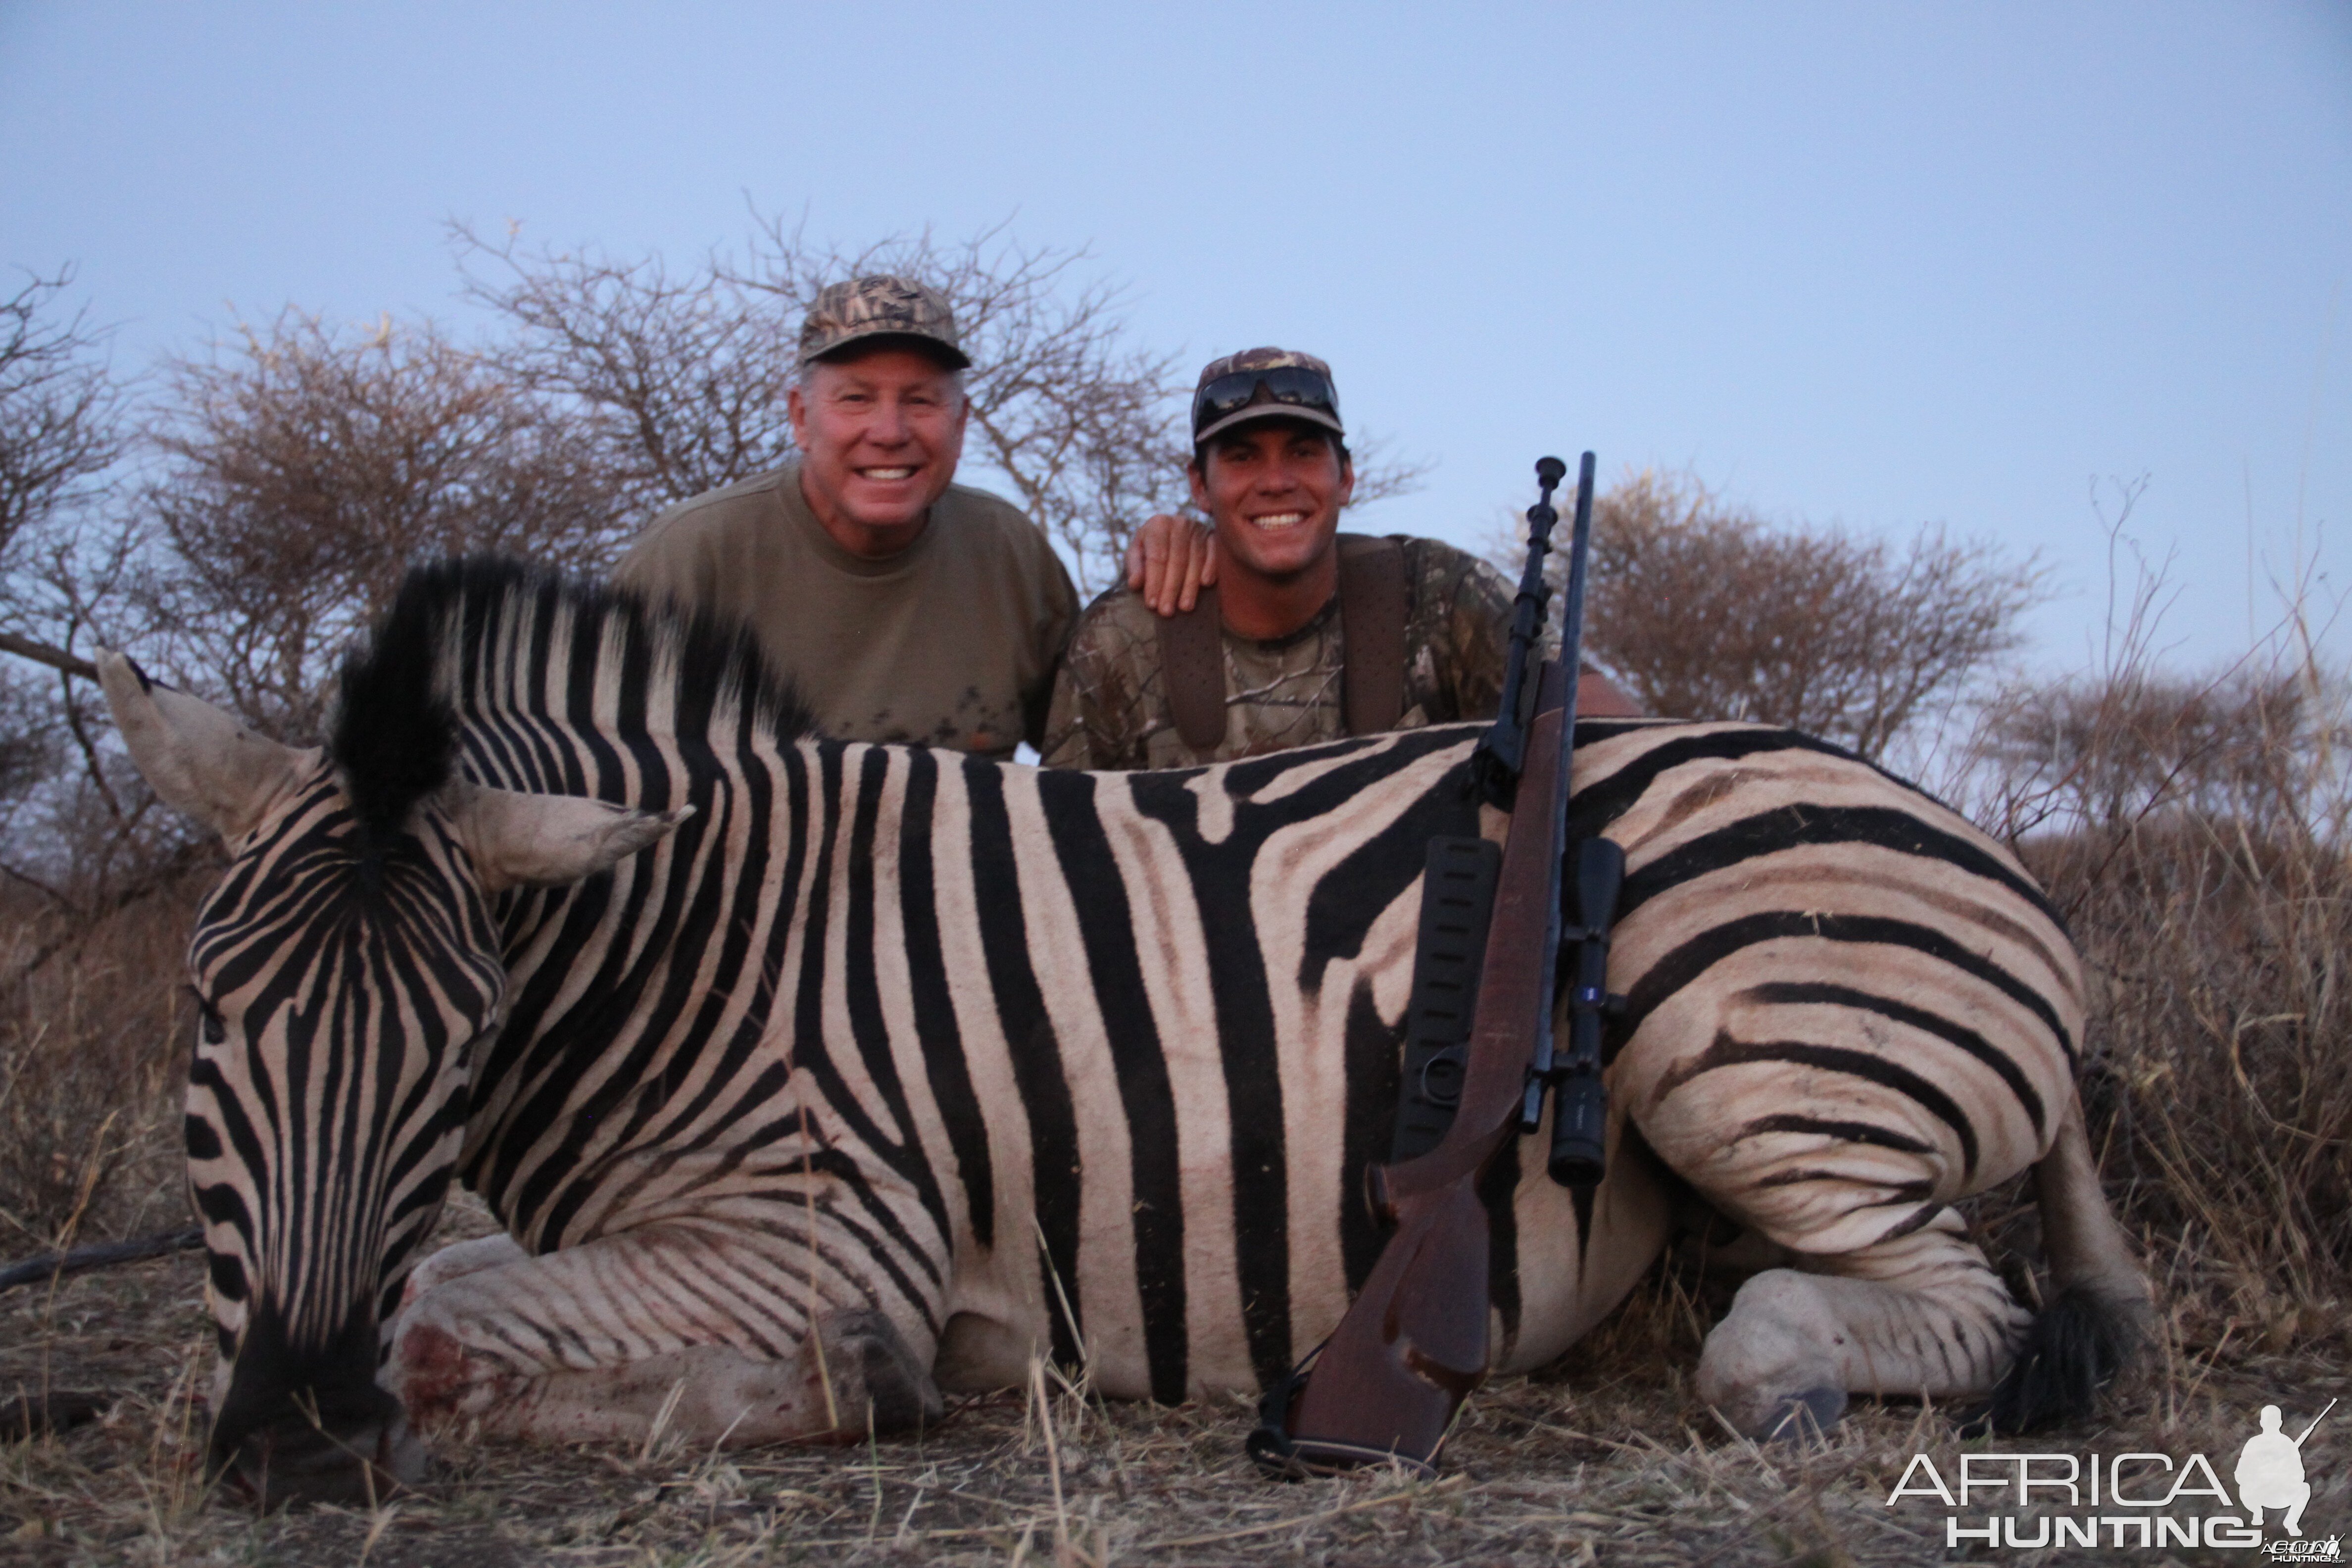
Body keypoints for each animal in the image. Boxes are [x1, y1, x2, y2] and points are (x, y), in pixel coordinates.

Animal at [96, 562, 2154, 1504]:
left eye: (456, 1046)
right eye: (207, 1016)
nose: (288, 1441)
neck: (694, 935)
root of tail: (1994, 861)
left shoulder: (814, 1232)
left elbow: (446, 1320)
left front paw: (860, 1383)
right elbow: (441, 1279)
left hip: (1753, 1058)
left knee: (1932, 1306)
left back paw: (1784, 1366)